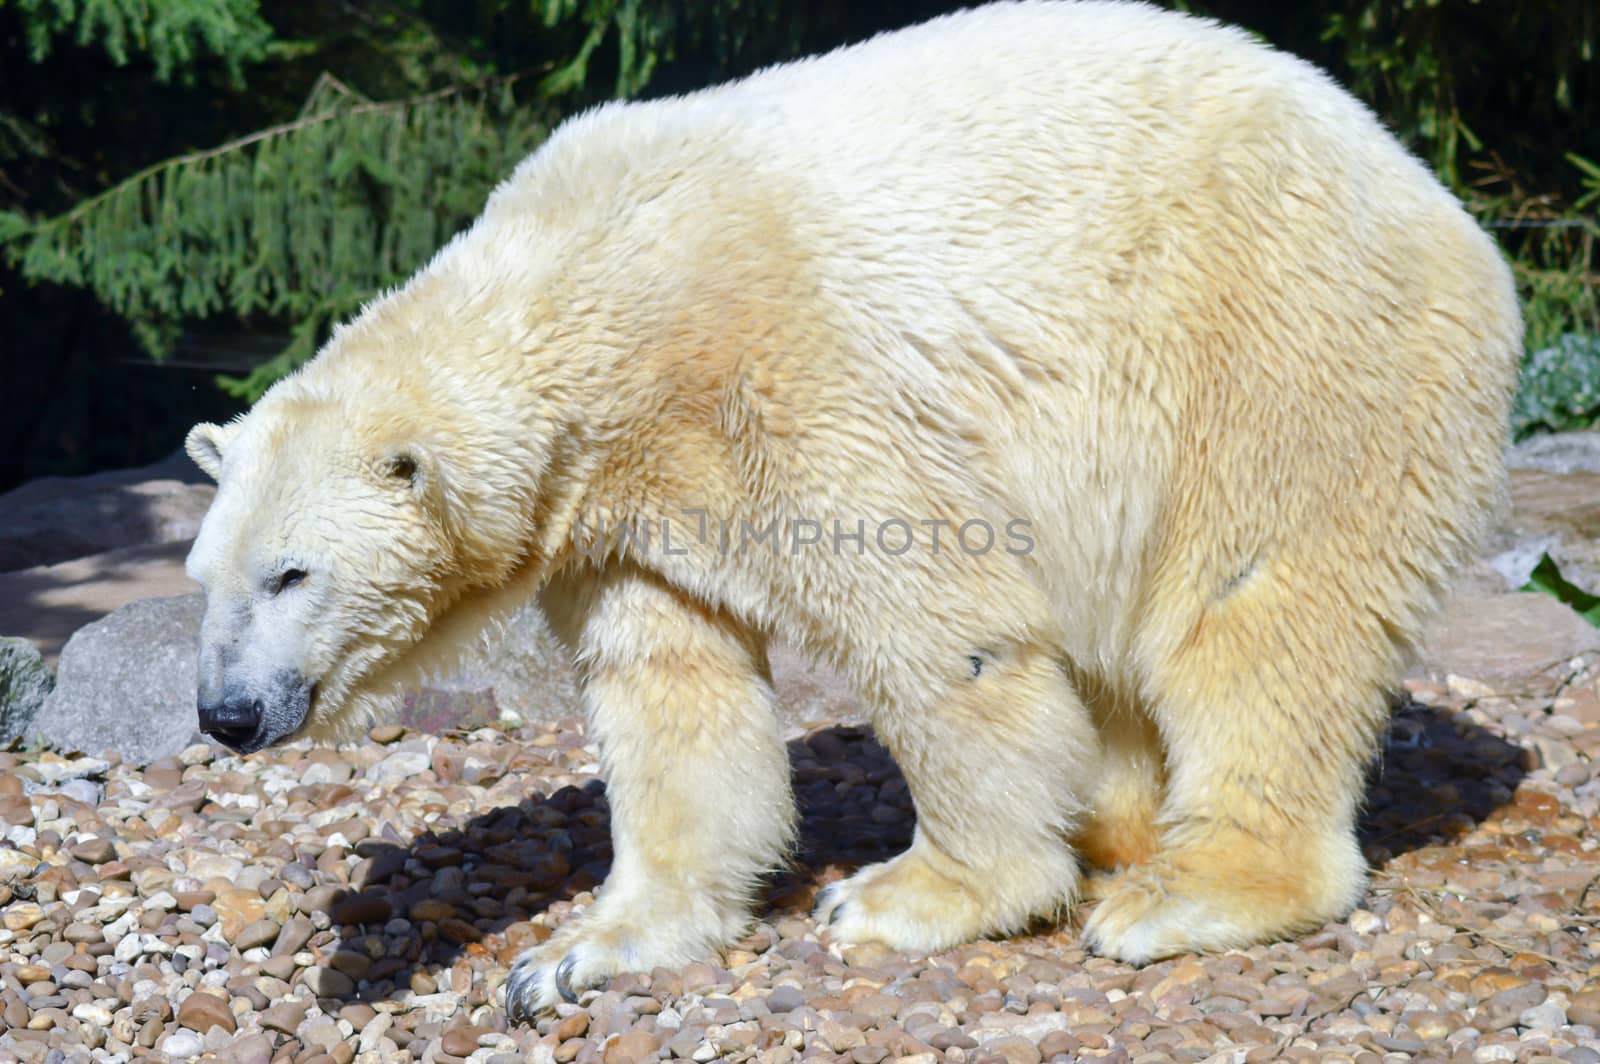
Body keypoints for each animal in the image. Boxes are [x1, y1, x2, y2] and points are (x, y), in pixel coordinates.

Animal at [181, 0, 1516, 1011]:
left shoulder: (786, 373)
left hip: (1281, 343)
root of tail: (1435, 197)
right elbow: (672, 694)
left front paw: (910, 892)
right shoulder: (617, 510)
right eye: (207, 579)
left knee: (1257, 607)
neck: (583, 289)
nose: (226, 713)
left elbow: (937, 621)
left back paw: (1185, 889)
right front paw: (575, 954)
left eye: (292, 571)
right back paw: (1116, 825)